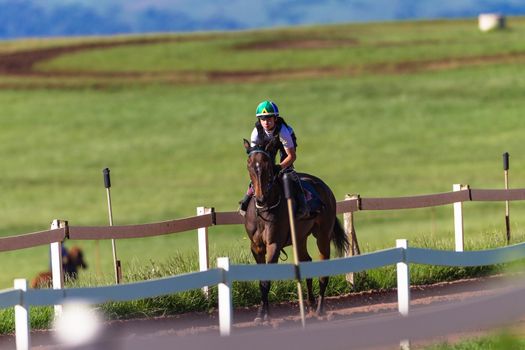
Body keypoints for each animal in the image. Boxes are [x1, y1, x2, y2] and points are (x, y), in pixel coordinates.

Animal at [243, 137, 348, 322]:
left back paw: (320, 309)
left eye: (267, 165)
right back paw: (311, 304)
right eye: (249, 165)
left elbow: (266, 280)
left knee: (323, 271)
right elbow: (262, 279)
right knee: (307, 261)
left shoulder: (274, 244)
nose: (260, 198)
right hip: (299, 238)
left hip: (323, 235)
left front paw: (264, 315)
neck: (265, 209)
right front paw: (262, 313)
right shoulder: (256, 246)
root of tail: (325, 188)